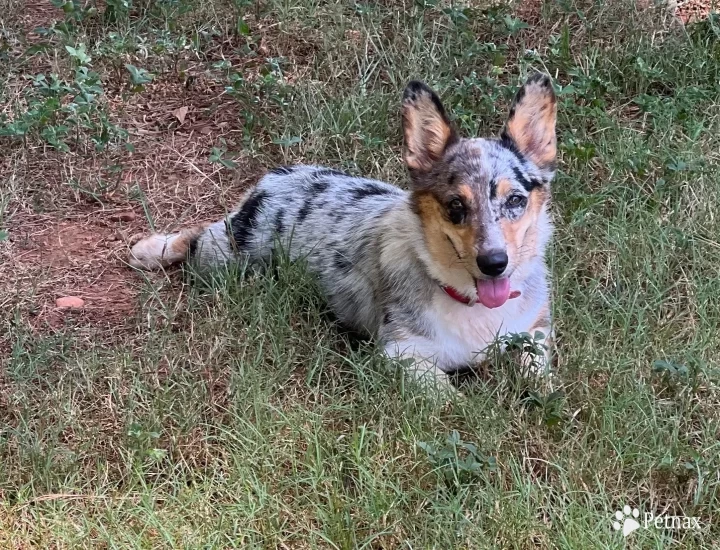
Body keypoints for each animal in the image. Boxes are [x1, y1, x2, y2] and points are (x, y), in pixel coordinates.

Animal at [129, 73, 556, 388]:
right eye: (456, 207)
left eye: (515, 200)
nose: (494, 263)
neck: (471, 303)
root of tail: (271, 180)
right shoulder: (401, 353)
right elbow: (447, 393)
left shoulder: (534, 330)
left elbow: (538, 368)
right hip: (226, 257)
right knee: (197, 236)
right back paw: (150, 250)